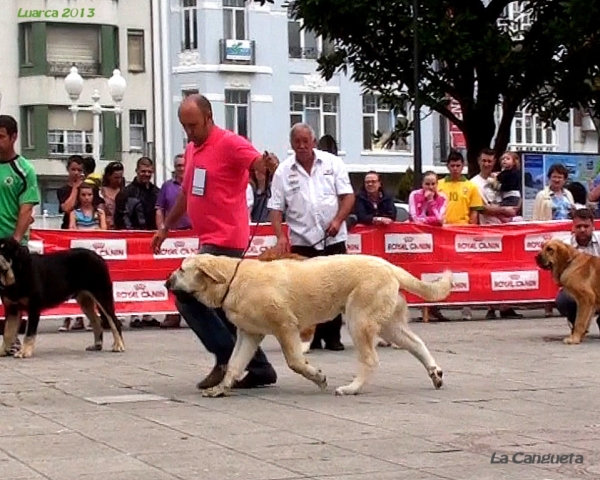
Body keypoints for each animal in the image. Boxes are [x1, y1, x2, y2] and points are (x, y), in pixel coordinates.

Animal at [164, 253, 450, 396]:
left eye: (181, 269)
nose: (166, 282)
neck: (232, 279)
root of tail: (389, 265)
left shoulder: (285, 326)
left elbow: (295, 361)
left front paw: (318, 377)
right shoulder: (249, 334)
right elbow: (234, 364)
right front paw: (221, 388)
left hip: (359, 320)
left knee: (371, 359)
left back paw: (352, 388)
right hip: (389, 325)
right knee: (417, 343)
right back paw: (435, 373)